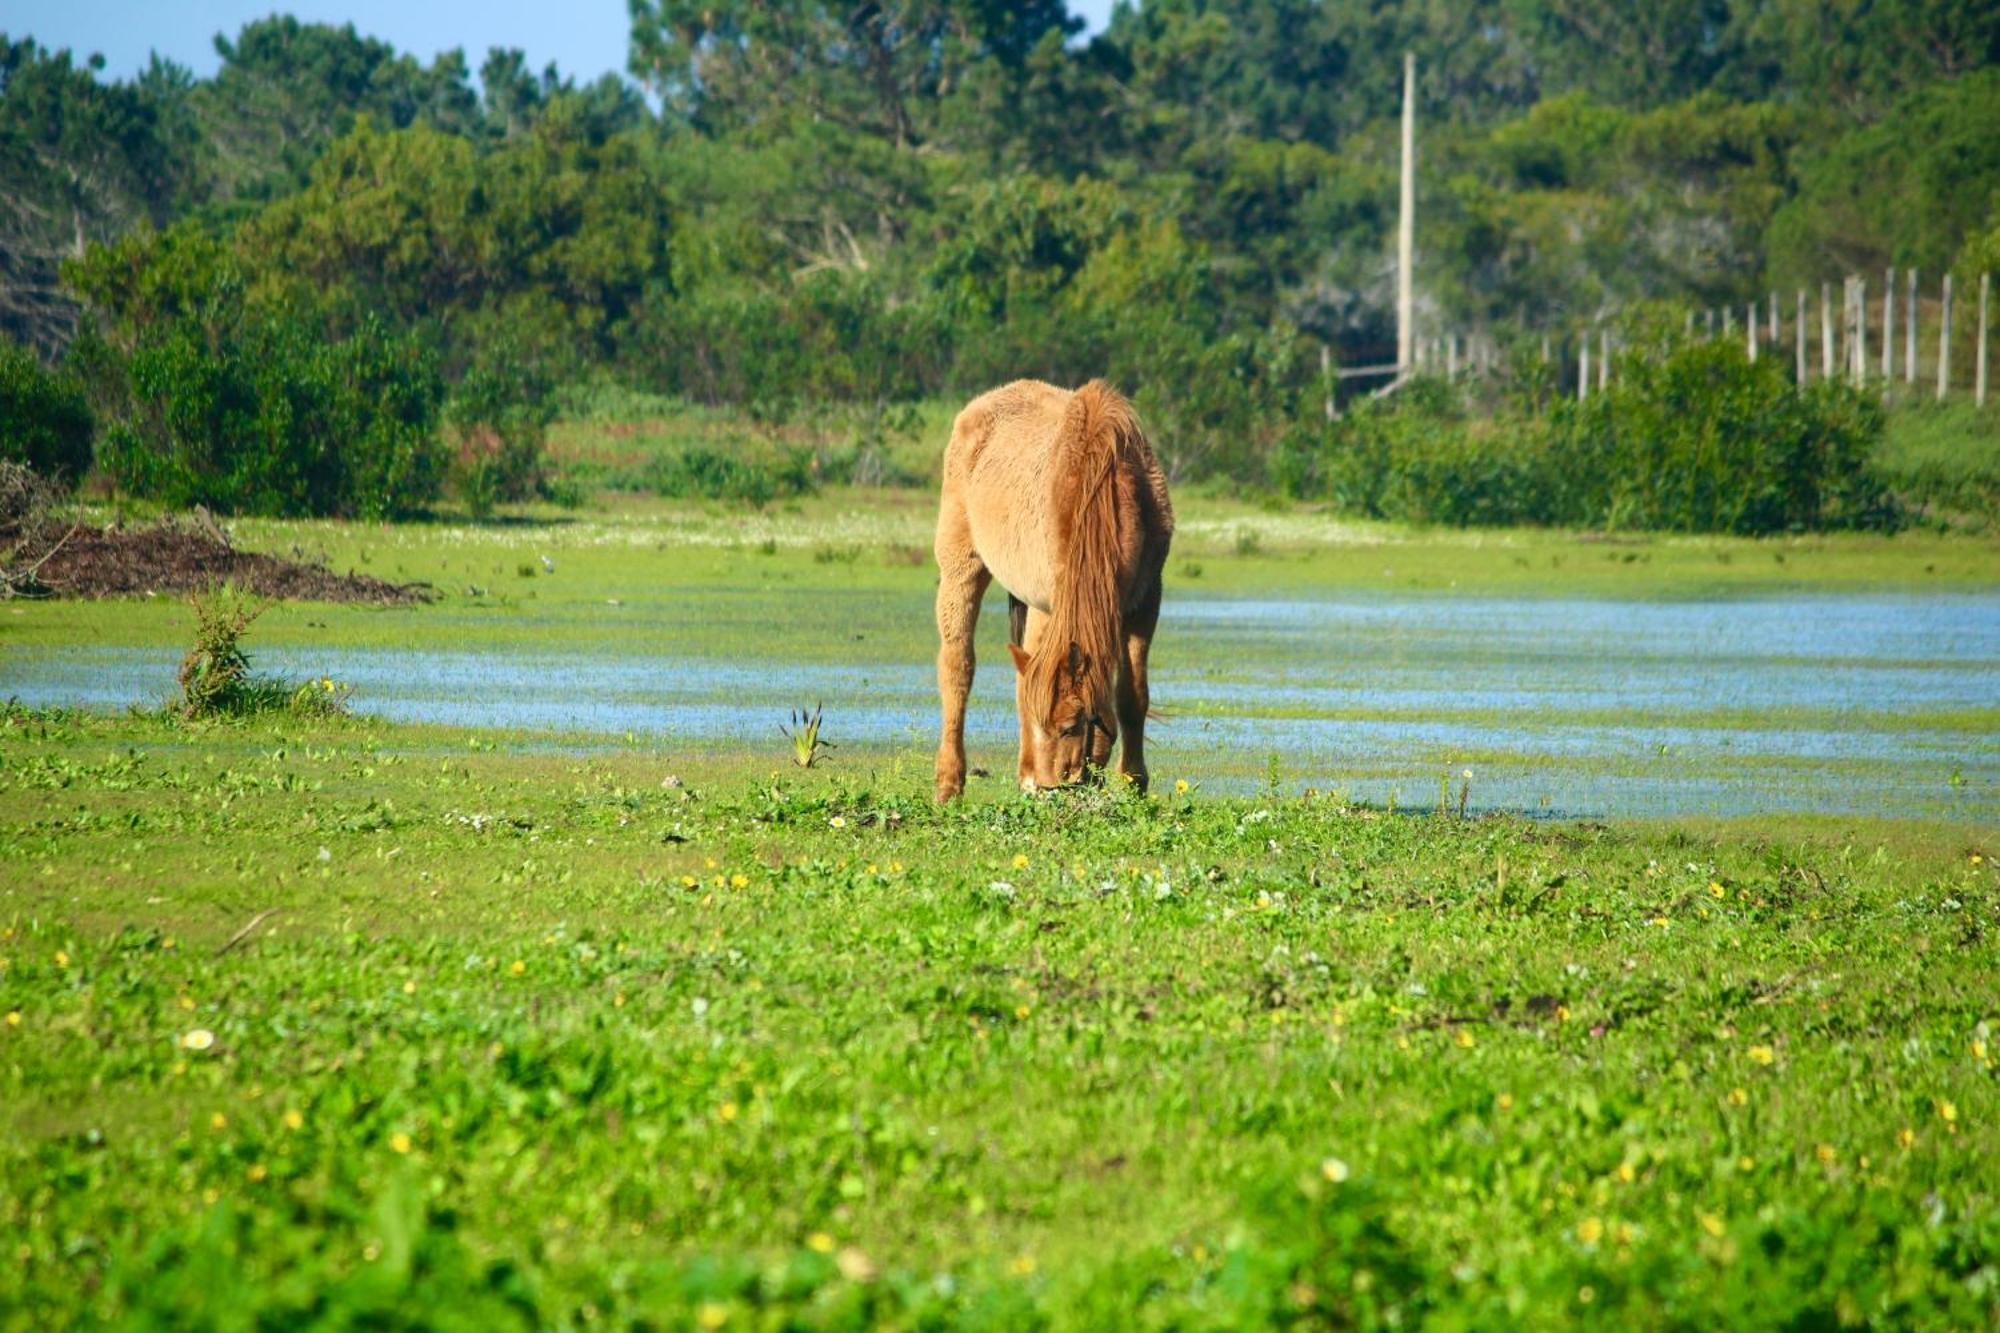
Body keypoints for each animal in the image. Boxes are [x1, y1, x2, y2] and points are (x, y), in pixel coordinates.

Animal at [932, 376, 1168, 800]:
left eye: (1073, 724)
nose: (1053, 785)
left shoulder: (1145, 602)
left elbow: (1132, 696)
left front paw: (1134, 783)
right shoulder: (1049, 602)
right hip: (962, 568)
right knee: (958, 668)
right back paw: (950, 783)